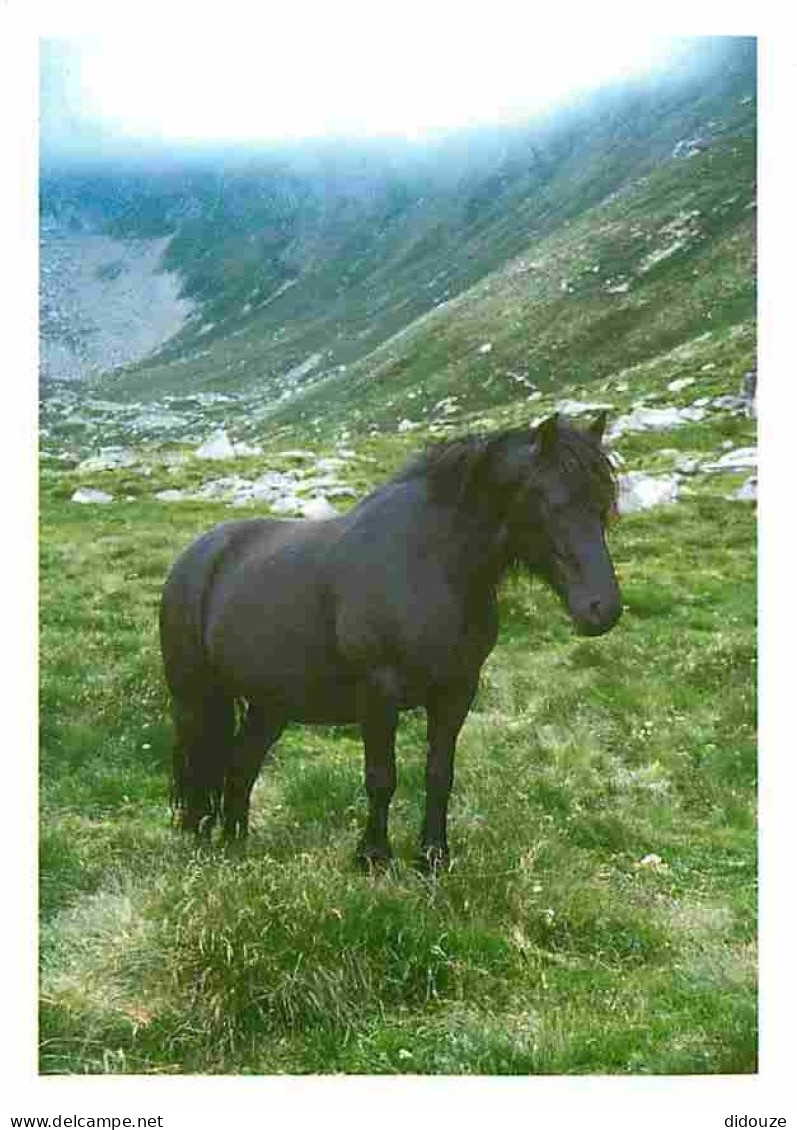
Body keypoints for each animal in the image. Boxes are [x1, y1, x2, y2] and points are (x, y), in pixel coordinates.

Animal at [160, 413, 624, 863]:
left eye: (604, 505)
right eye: (553, 504)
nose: (603, 609)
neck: (430, 563)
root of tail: (197, 554)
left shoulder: (457, 690)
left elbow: (439, 773)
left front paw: (433, 855)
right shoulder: (380, 691)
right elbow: (381, 777)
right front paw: (373, 857)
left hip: (270, 704)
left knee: (242, 763)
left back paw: (234, 843)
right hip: (195, 699)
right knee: (198, 759)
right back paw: (200, 836)